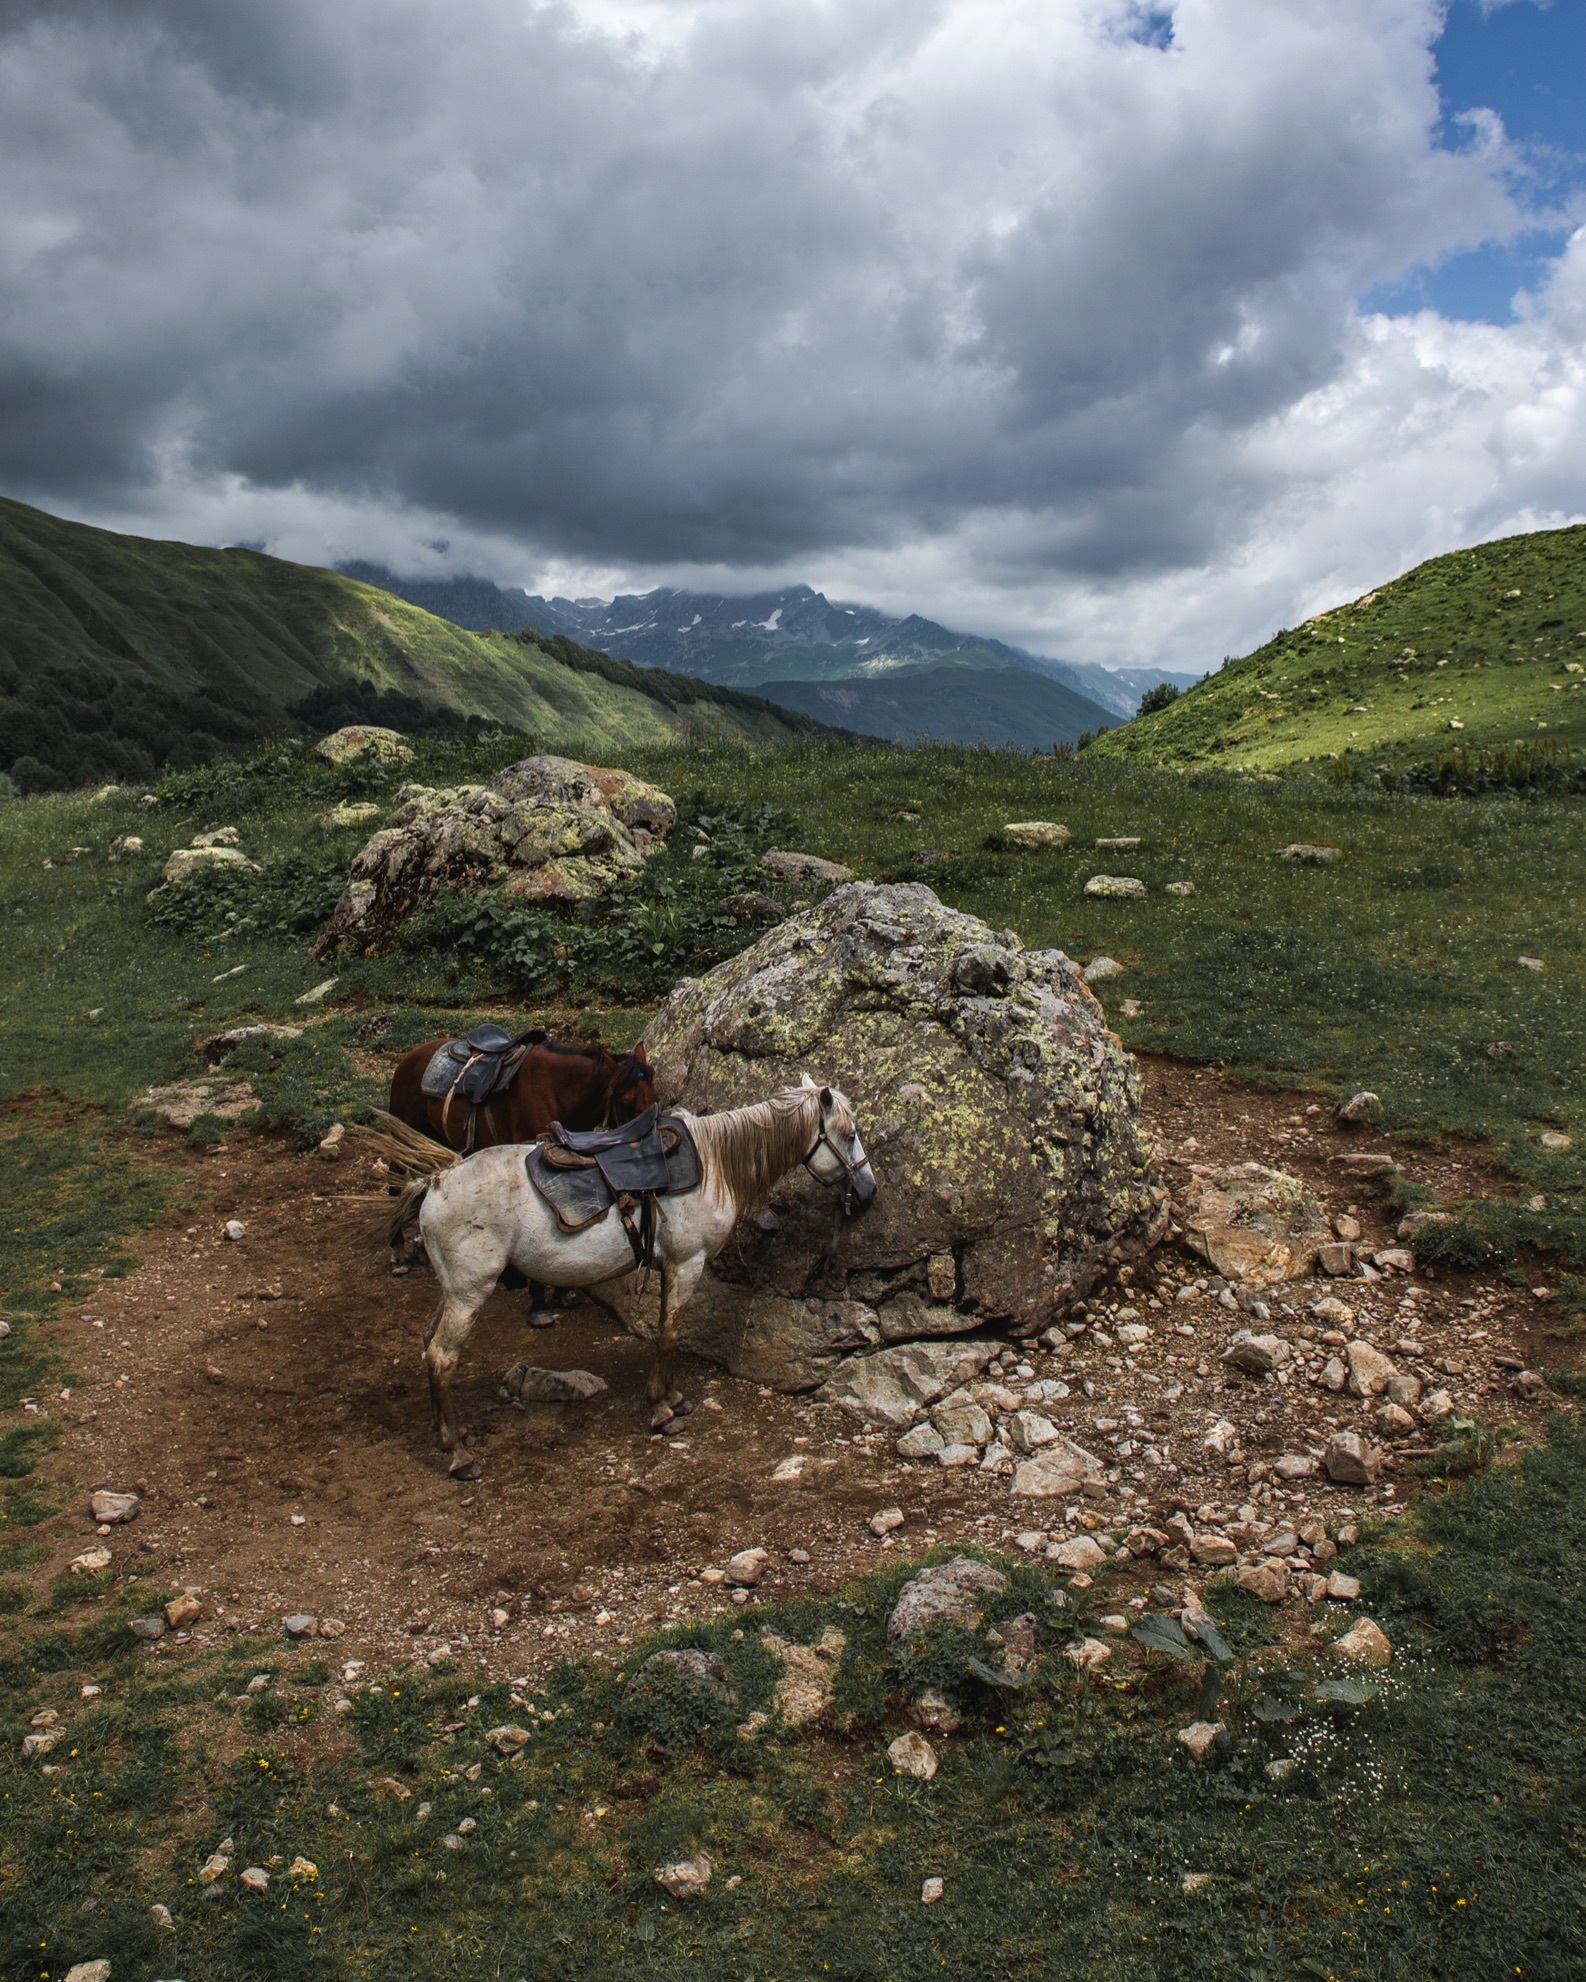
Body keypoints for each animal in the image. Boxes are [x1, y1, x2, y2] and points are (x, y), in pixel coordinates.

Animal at [390, 1086, 872, 1474]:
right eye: (850, 1134)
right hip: (470, 1293)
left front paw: (672, 1397)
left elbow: (665, 1329)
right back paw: (458, 1455)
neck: (713, 1162)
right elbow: (669, 1332)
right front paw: (661, 1408)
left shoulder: (672, 1266)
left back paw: (454, 1435)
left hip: (454, 1291)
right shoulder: (687, 1263)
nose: (868, 1191)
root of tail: (435, 1183)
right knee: (442, 1357)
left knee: (428, 1346)